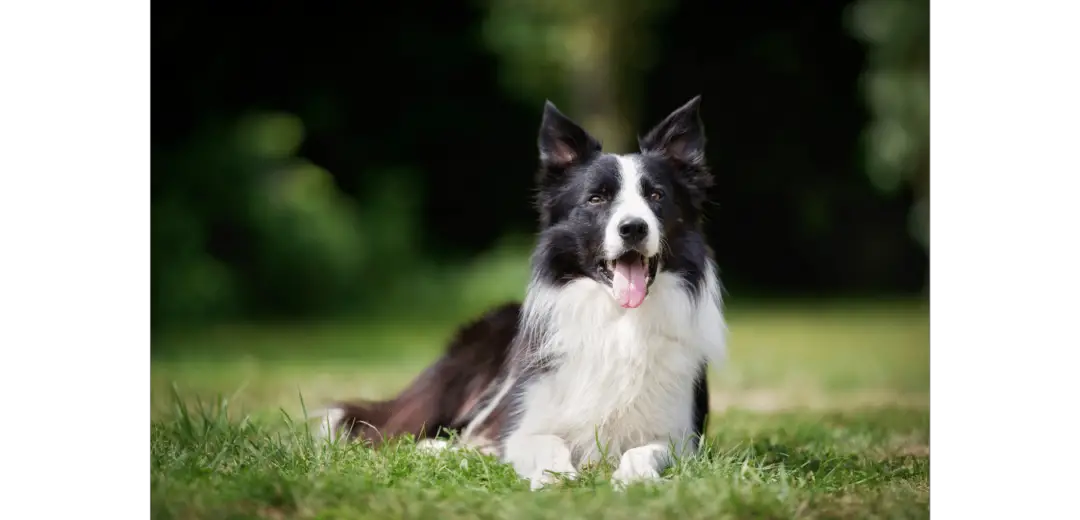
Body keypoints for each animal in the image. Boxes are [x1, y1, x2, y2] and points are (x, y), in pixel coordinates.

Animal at [315, 95, 730, 488]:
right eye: (596, 198)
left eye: (656, 196)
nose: (633, 228)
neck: (618, 321)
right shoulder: (524, 422)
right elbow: (547, 442)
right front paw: (553, 477)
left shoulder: (680, 437)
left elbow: (644, 450)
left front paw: (634, 478)